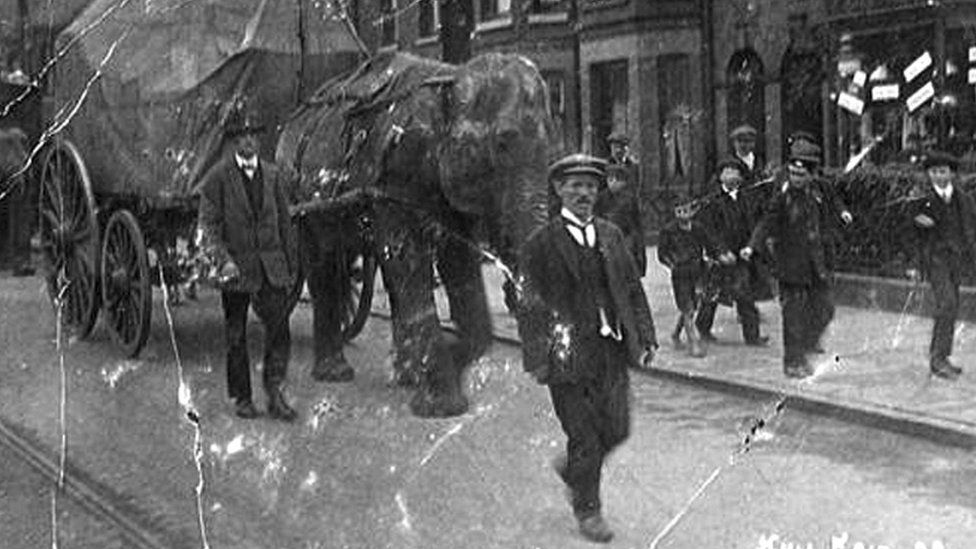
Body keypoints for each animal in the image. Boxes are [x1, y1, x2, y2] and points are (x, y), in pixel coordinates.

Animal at [278, 52, 552, 416]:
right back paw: (335, 373)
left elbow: (458, 264)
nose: (539, 371)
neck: (450, 75)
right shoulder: (392, 181)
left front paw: (435, 370)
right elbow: (408, 258)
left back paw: (400, 373)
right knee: (322, 262)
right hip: (297, 199)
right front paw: (440, 402)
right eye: (503, 142)